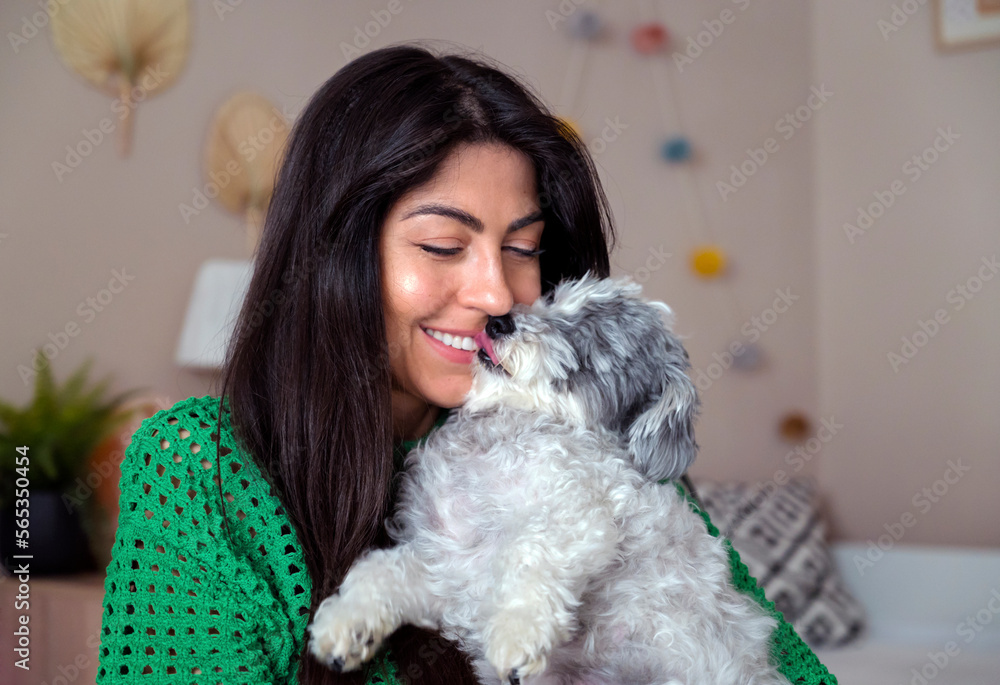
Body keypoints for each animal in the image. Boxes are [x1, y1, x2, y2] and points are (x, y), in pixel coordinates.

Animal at [306, 272, 788, 684]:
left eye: (588, 350)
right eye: (553, 301)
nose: (499, 321)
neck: (502, 433)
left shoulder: (577, 517)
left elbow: (528, 551)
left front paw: (516, 634)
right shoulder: (449, 566)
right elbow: (379, 571)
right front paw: (346, 624)